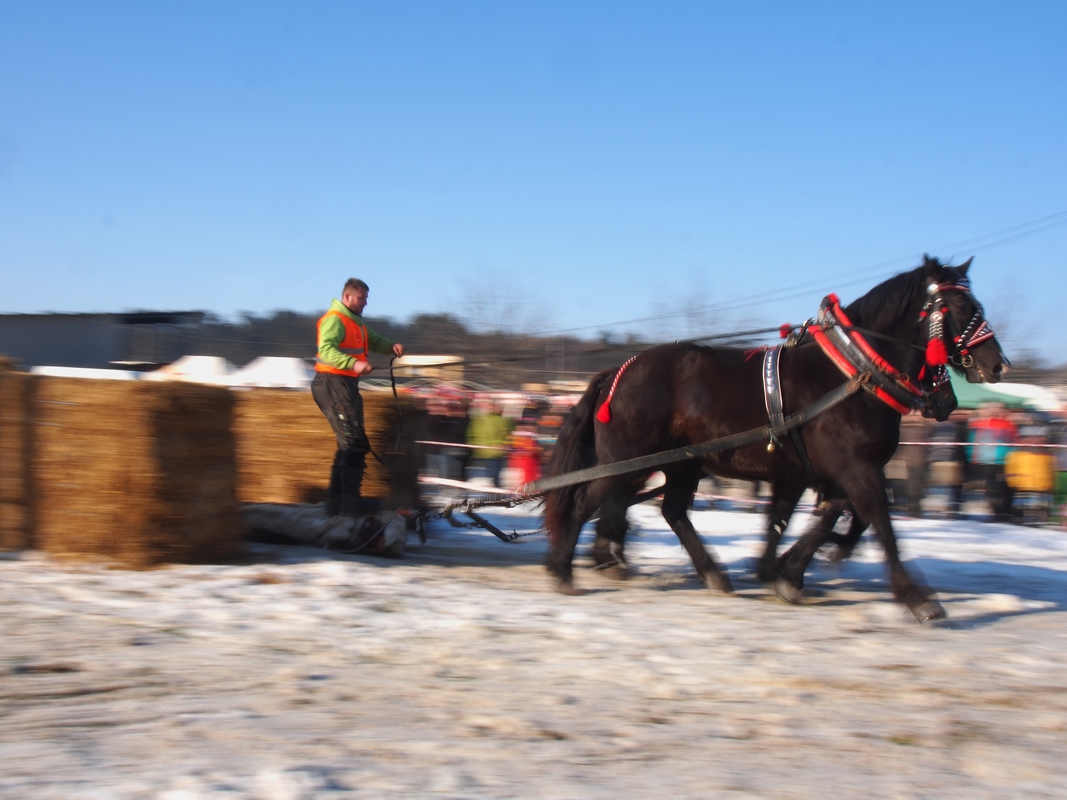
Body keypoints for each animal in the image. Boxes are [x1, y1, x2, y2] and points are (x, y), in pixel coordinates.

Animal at [541, 256, 1007, 622]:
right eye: (959, 305)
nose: (997, 363)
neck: (850, 375)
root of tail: (618, 373)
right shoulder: (855, 469)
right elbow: (879, 524)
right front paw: (916, 598)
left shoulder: (827, 472)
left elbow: (812, 519)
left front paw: (788, 573)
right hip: (625, 459)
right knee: (587, 502)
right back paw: (564, 568)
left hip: (680, 463)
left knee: (668, 511)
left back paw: (708, 572)